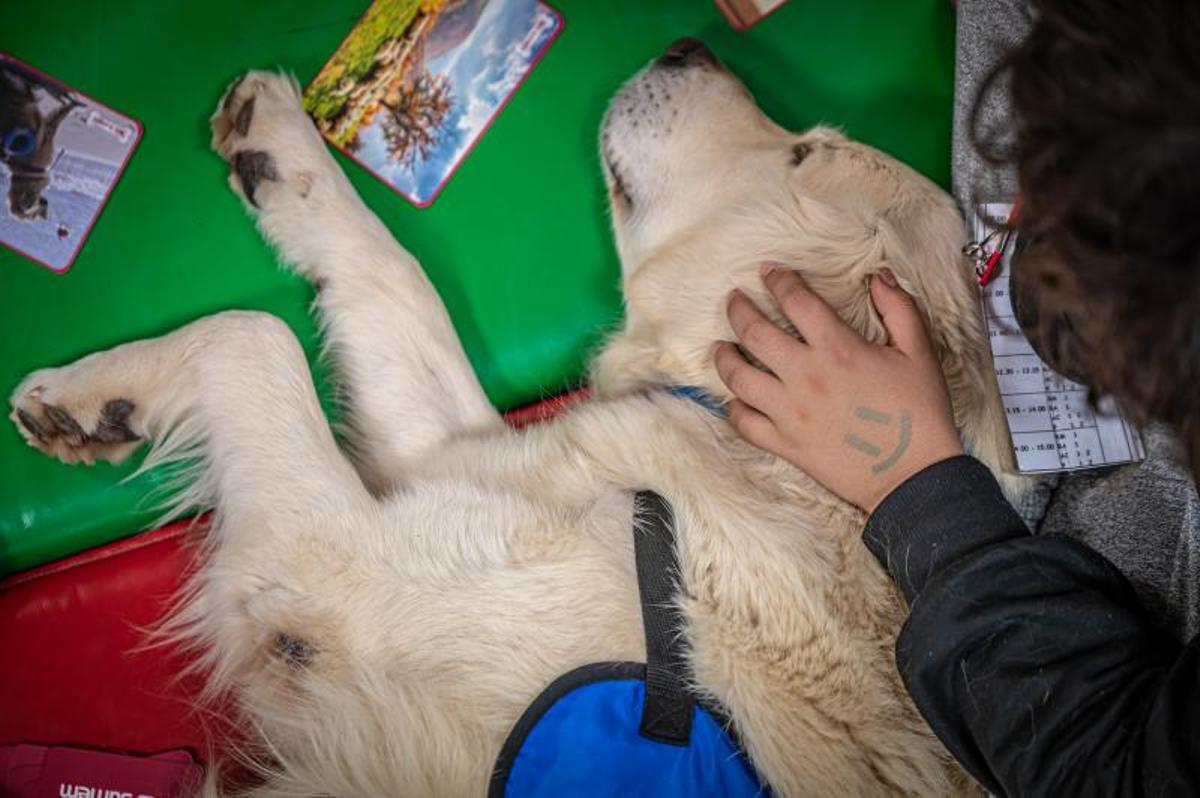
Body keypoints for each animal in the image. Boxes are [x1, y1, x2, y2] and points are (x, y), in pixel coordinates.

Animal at [9, 40, 1022, 792]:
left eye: (803, 152)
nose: (688, 44)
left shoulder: (328, 578)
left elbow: (254, 337)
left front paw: (91, 400)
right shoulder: (440, 457)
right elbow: (387, 271)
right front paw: (281, 147)